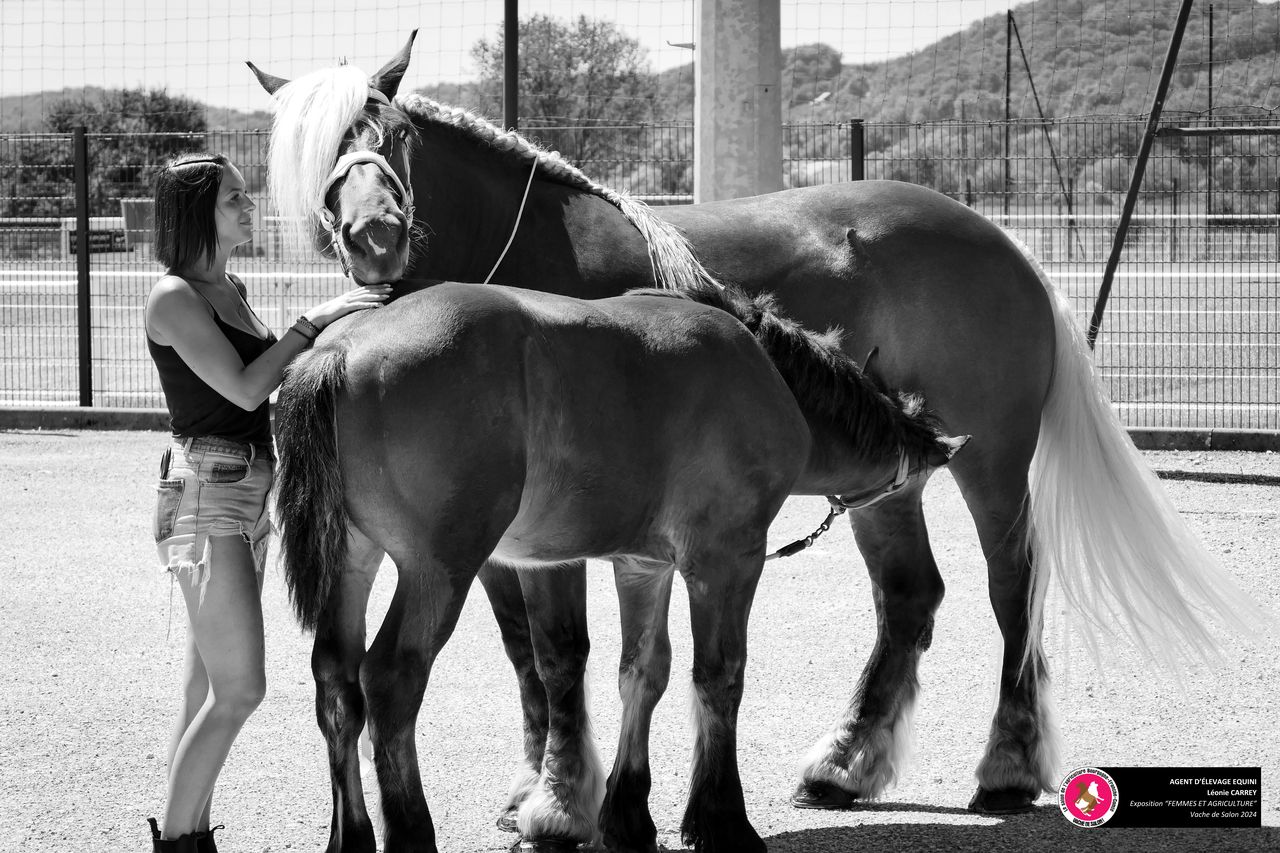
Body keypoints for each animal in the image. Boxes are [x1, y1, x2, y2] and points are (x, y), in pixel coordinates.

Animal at [249, 28, 1259, 850]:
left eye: (394, 134)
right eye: (317, 150)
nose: (375, 236)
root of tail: (1005, 243)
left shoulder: (551, 542)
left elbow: (565, 656)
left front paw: (563, 802)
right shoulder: (509, 547)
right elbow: (535, 659)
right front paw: (550, 788)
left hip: (995, 463)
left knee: (1012, 586)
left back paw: (1006, 765)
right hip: (889, 492)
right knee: (909, 597)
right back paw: (846, 761)